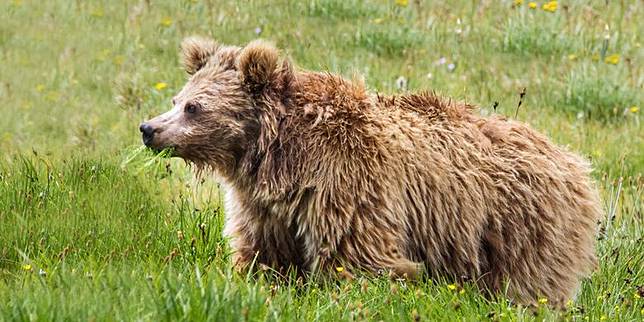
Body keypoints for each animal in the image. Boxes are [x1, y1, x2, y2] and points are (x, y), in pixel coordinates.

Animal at [138, 36, 600, 306]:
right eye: (177, 98)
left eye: (194, 107)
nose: (149, 129)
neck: (278, 156)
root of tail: (573, 161)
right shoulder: (265, 205)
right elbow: (264, 254)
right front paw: (256, 281)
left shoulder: (346, 183)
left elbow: (358, 257)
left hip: (520, 224)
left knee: (529, 282)